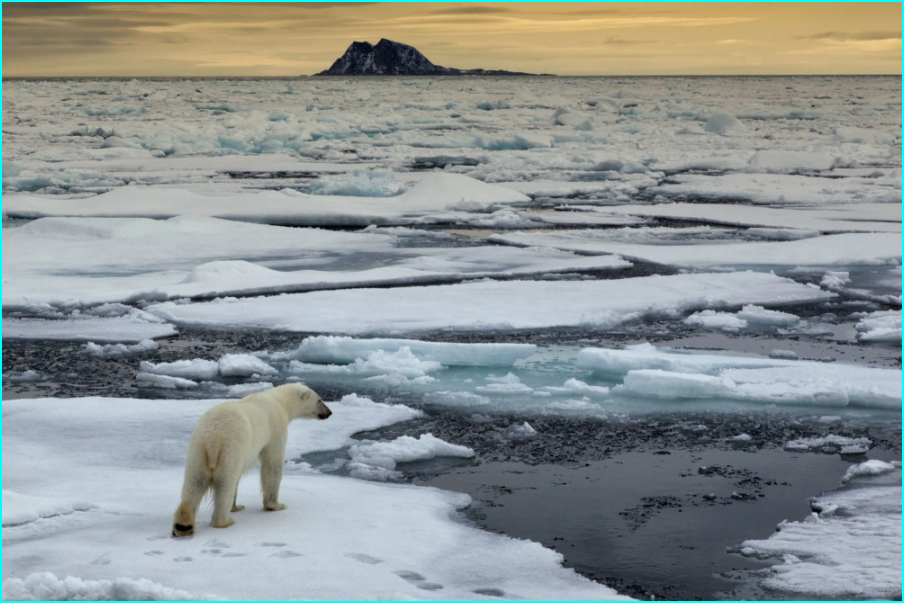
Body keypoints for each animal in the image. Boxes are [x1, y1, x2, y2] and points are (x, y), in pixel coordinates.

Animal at [171, 384, 330, 536]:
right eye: (320, 400)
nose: (329, 412)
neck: (279, 401)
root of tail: (213, 439)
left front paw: (236, 507)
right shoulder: (276, 428)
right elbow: (273, 465)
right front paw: (276, 505)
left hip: (197, 452)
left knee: (194, 484)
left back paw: (183, 525)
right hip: (230, 450)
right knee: (225, 485)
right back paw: (224, 521)